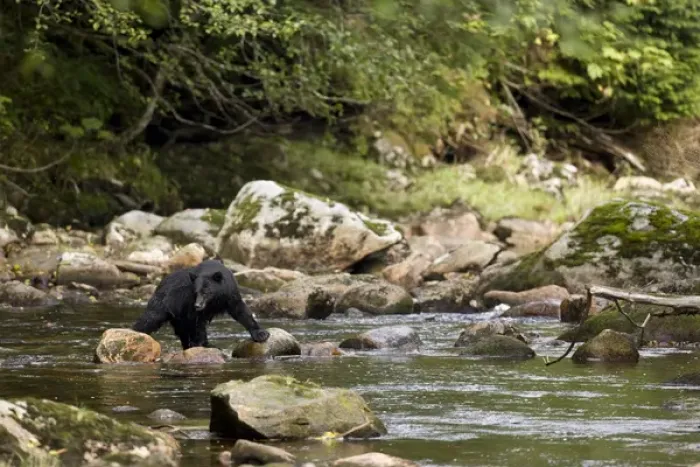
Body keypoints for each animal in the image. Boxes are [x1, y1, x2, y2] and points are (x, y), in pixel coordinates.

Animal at [131, 259, 270, 350]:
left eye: (206, 292)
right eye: (196, 292)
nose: (198, 305)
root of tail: (160, 283)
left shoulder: (230, 293)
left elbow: (241, 311)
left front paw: (261, 334)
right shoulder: (188, 301)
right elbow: (196, 322)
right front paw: (203, 344)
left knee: (182, 331)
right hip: (165, 303)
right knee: (150, 319)